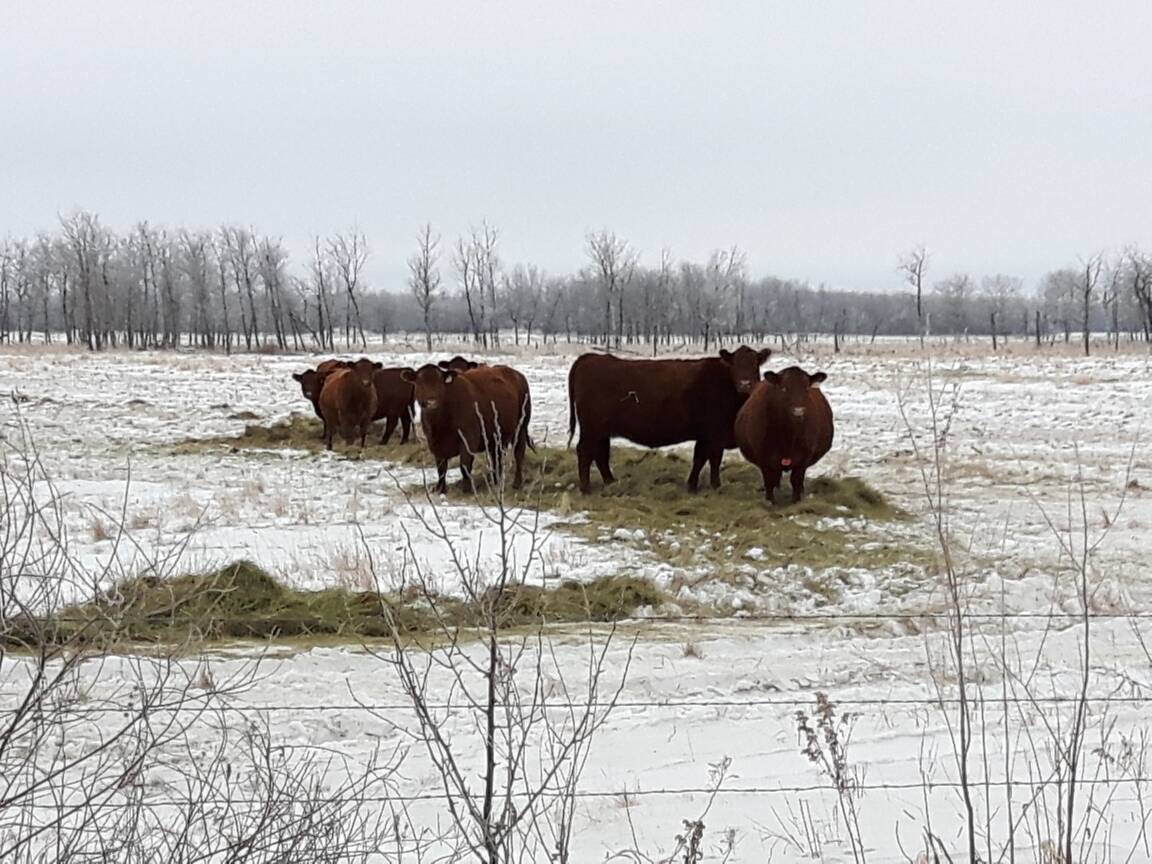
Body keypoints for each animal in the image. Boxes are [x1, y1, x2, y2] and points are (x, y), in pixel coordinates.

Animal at [402, 363, 532, 493]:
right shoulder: (434, 444)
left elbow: (464, 466)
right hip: (496, 437)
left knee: (519, 453)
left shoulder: (469, 439)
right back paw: (495, 481)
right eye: (419, 382)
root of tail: (516, 374)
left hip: (521, 427)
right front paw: (440, 489)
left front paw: (467, 489)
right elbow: (441, 469)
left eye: (439, 382)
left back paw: (516, 483)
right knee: (496, 457)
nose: (431, 402)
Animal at [566, 346, 771, 494]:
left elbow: (704, 458)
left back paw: (611, 482)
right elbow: (709, 458)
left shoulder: (709, 435)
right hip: (592, 428)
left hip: (601, 430)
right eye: (735, 364)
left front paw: (699, 485)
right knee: (585, 451)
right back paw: (586, 488)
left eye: (755, 364)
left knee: (600, 454)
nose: (745, 384)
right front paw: (709, 486)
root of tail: (589, 357)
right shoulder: (714, 433)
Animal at [734, 366, 834, 504]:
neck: (788, 436)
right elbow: (769, 481)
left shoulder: (805, 457)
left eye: (806, 389)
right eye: (784, 388)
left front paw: (796, 501)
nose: (798, 411)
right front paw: (770, 501)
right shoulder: (763, 457)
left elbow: (796, 480)